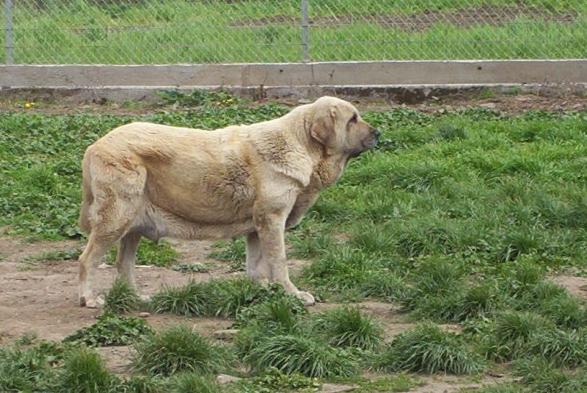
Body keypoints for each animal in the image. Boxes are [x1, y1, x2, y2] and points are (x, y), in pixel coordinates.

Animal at [78, 95, 382, 306]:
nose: (378, 133)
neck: (302, 145)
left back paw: (135, 298)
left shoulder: (257, 228)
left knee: (124, 263)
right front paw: (292, 294)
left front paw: (262, 291)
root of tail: (94, 146)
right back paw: (89, 298)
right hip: (115, 219)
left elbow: (256, 264)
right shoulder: (272, 220)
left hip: (132, 225)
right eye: (352, 119)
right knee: (87, 259)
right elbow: (279, 261)